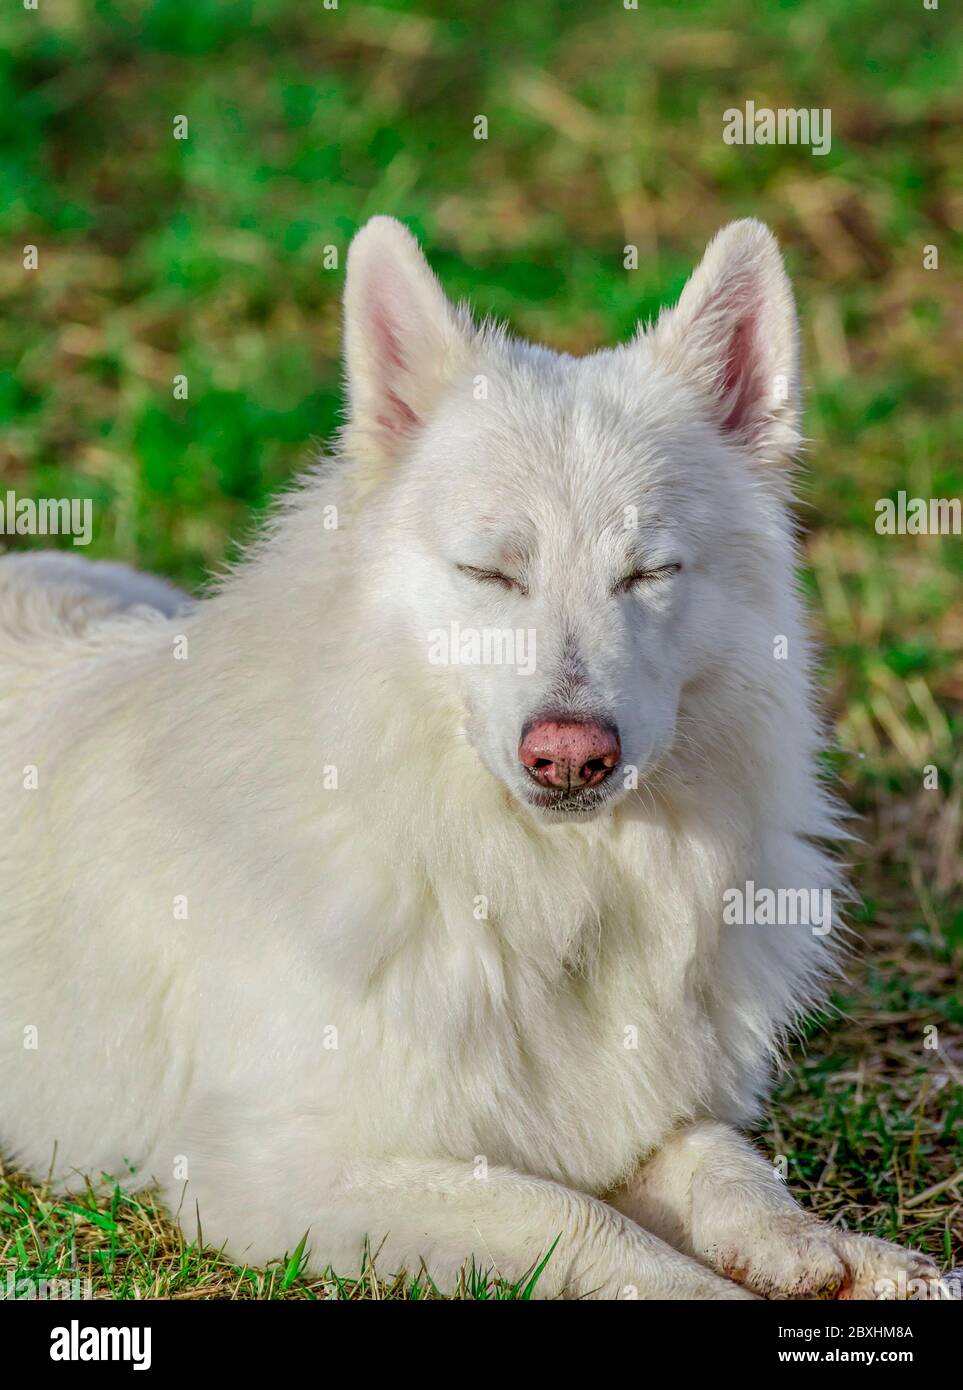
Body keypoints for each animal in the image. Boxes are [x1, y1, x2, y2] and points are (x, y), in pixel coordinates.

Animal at [0, 219, 933, 1301]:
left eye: (648, 572)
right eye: (491, 572)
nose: (570, 756)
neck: (542, 891)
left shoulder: (635, 1114)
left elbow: (720, 1157)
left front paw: (829, 1249)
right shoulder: (279, 1174)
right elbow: (576, 1219)